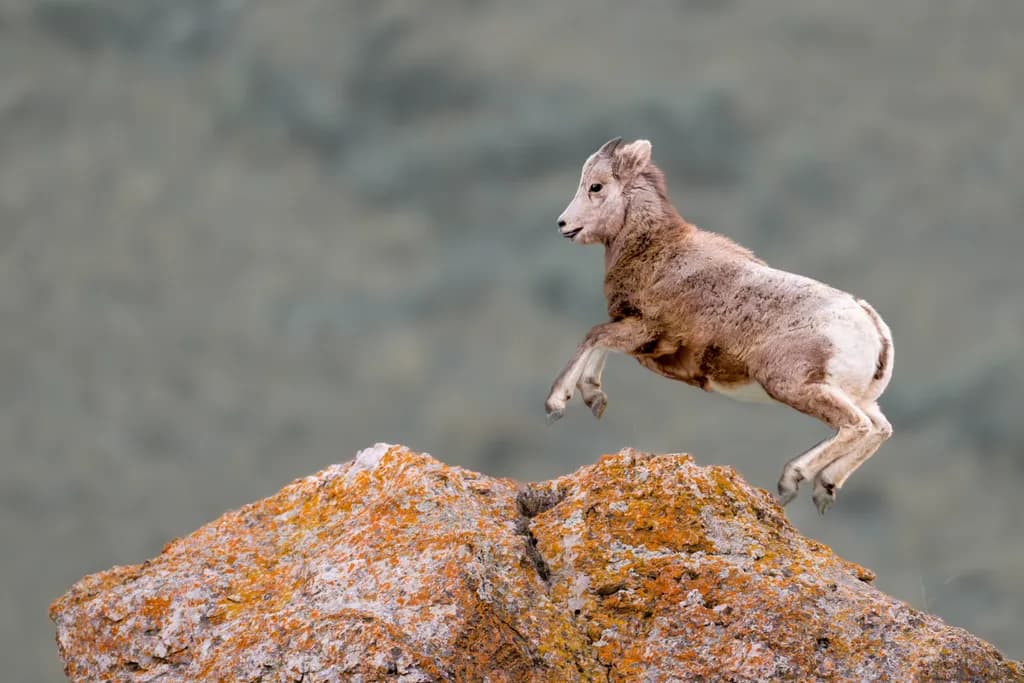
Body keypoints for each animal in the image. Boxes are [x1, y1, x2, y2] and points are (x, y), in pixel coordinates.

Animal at [545, 138, 893, 514]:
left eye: (596, 186)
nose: (563, 224)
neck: (657, 252)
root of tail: (873, 328)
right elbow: (600, 343)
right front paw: (594, 398)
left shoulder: (644, 332)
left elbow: (594, 337)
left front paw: (557, 404)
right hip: (856, 396)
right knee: (880, 428)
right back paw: (824, 487)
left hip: (793, 386)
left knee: (856, 426)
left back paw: (792, 478)